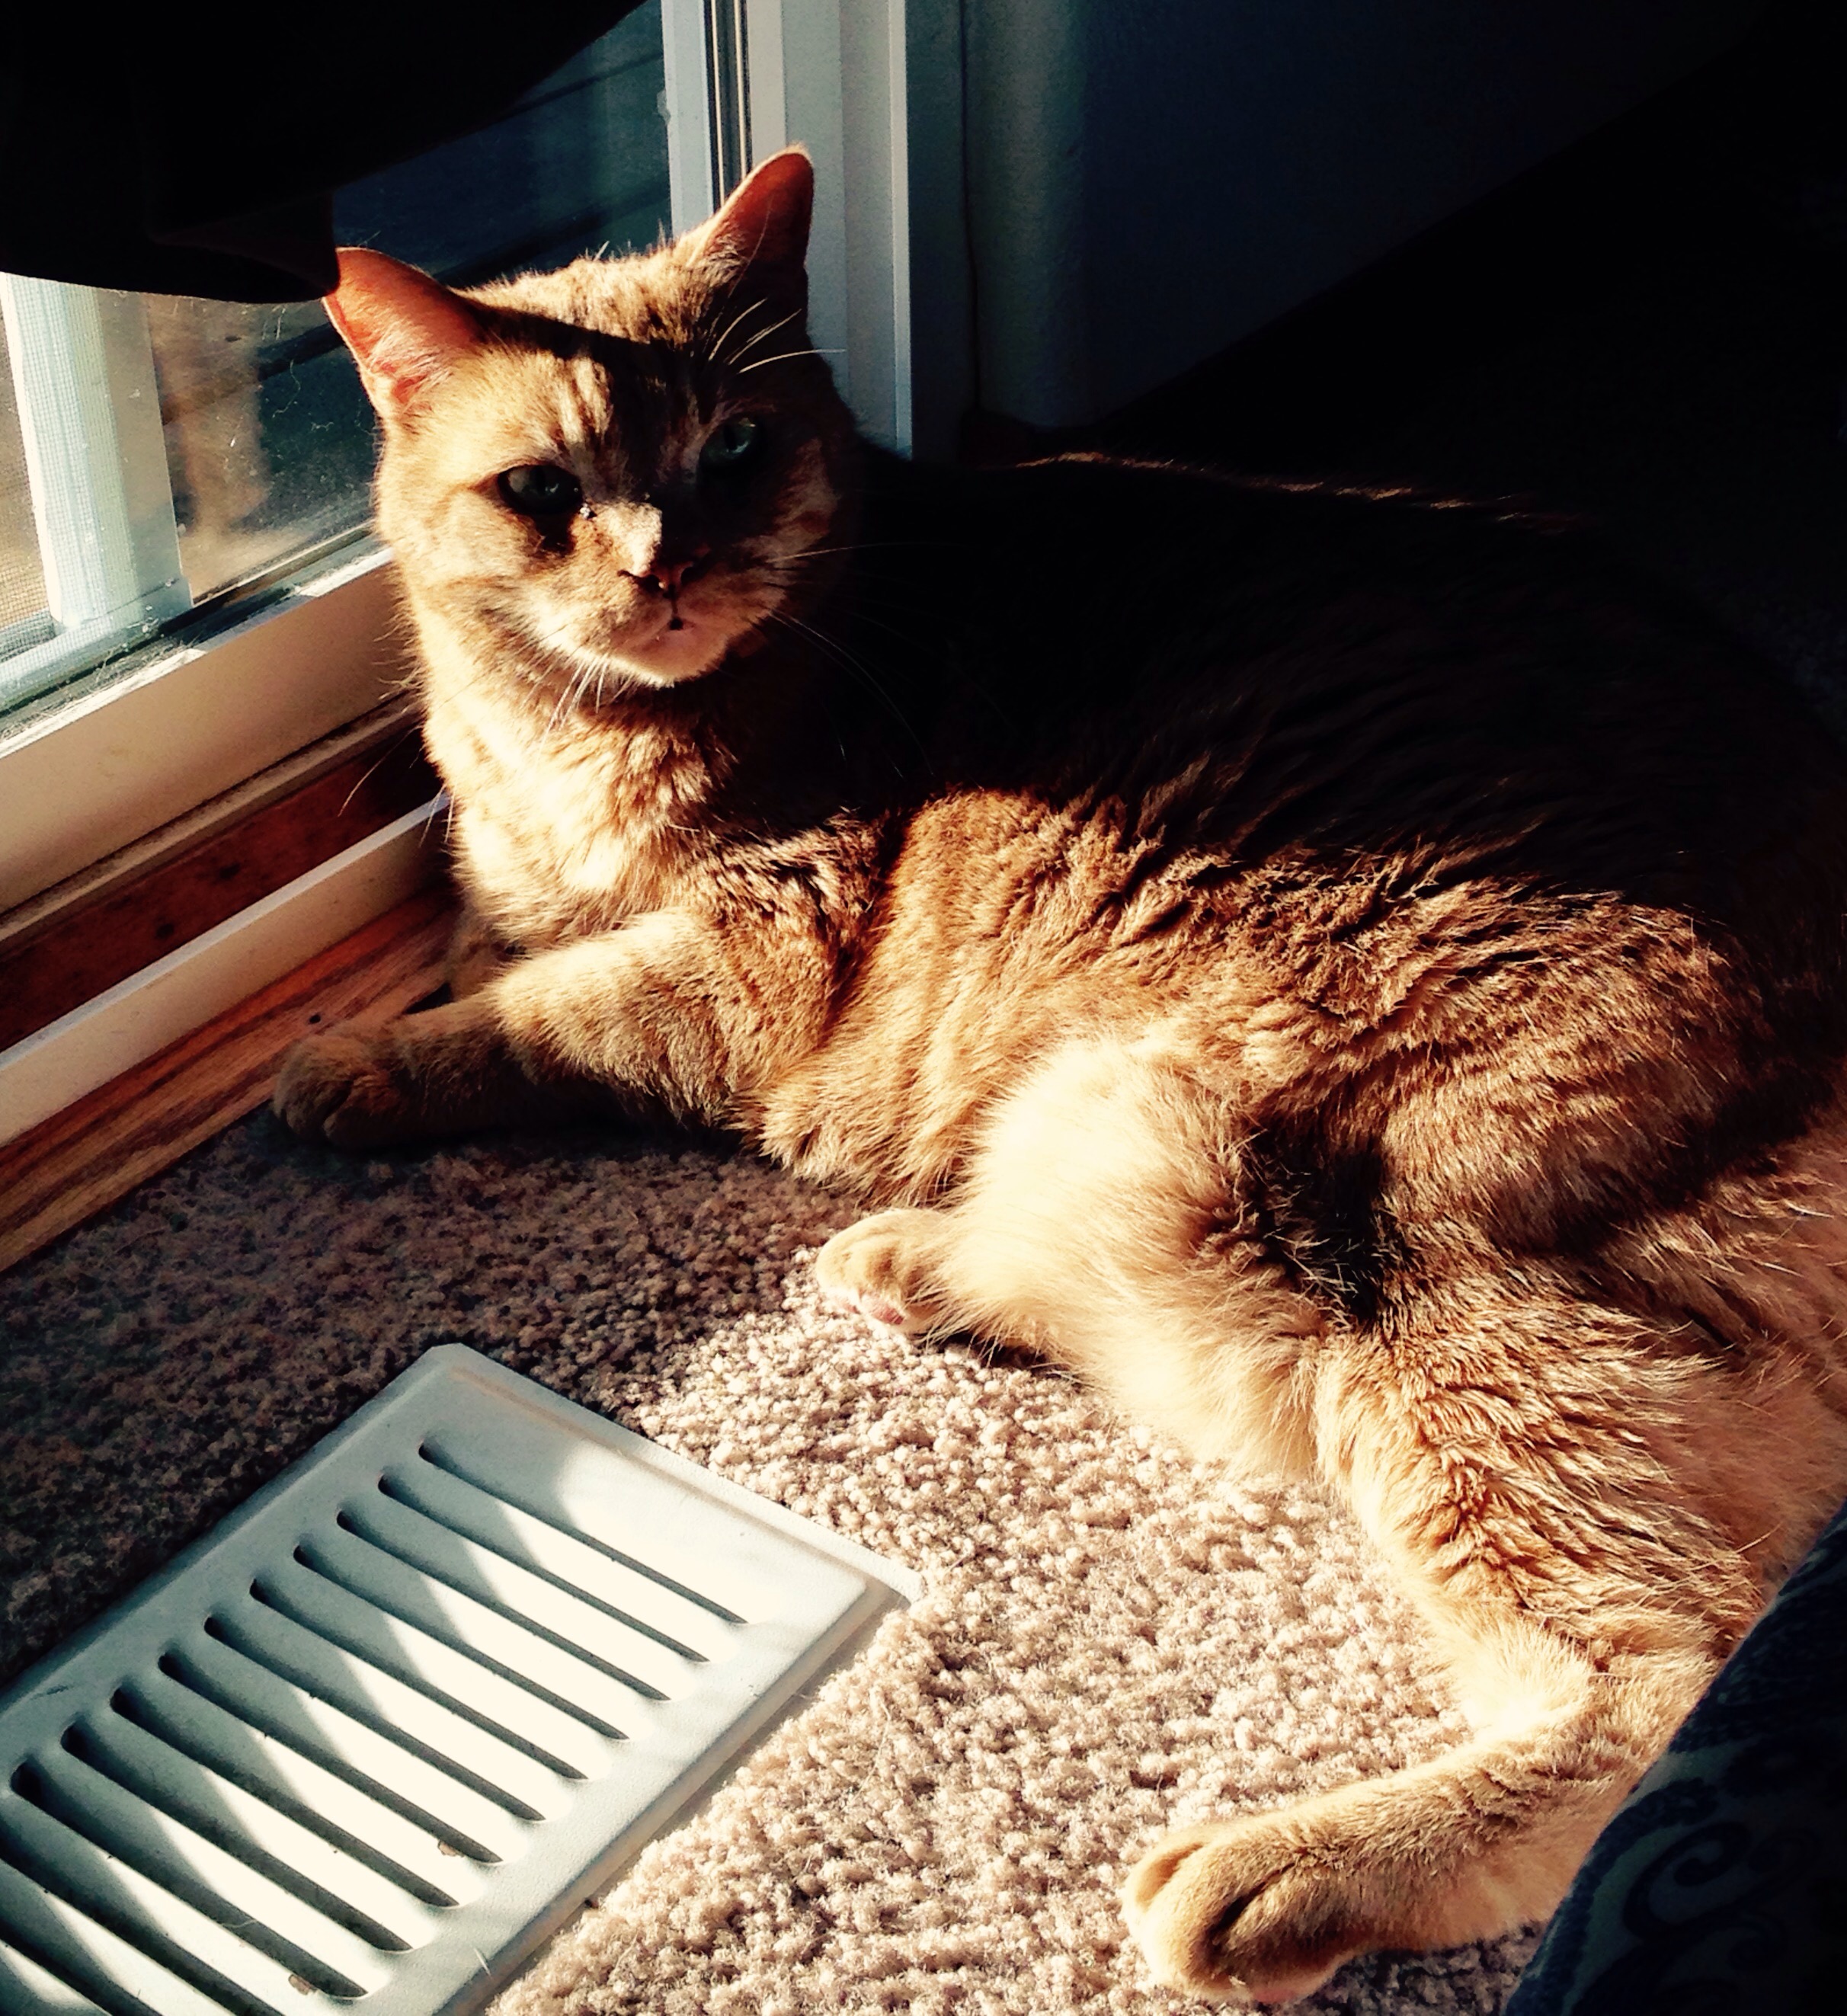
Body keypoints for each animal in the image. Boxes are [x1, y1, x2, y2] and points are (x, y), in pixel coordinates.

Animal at [277, 148, 1847, 2004]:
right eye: (541, 491)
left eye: (734, 452)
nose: (667, 569)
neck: (568, 752)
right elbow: (488, 952)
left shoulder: (747, 960)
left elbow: (524, 1023)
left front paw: (353, 1063)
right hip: (1153, 1152)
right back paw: (920, 1263)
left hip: (1351, 1223)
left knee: (1659, 1677)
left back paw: (1274, 1874)